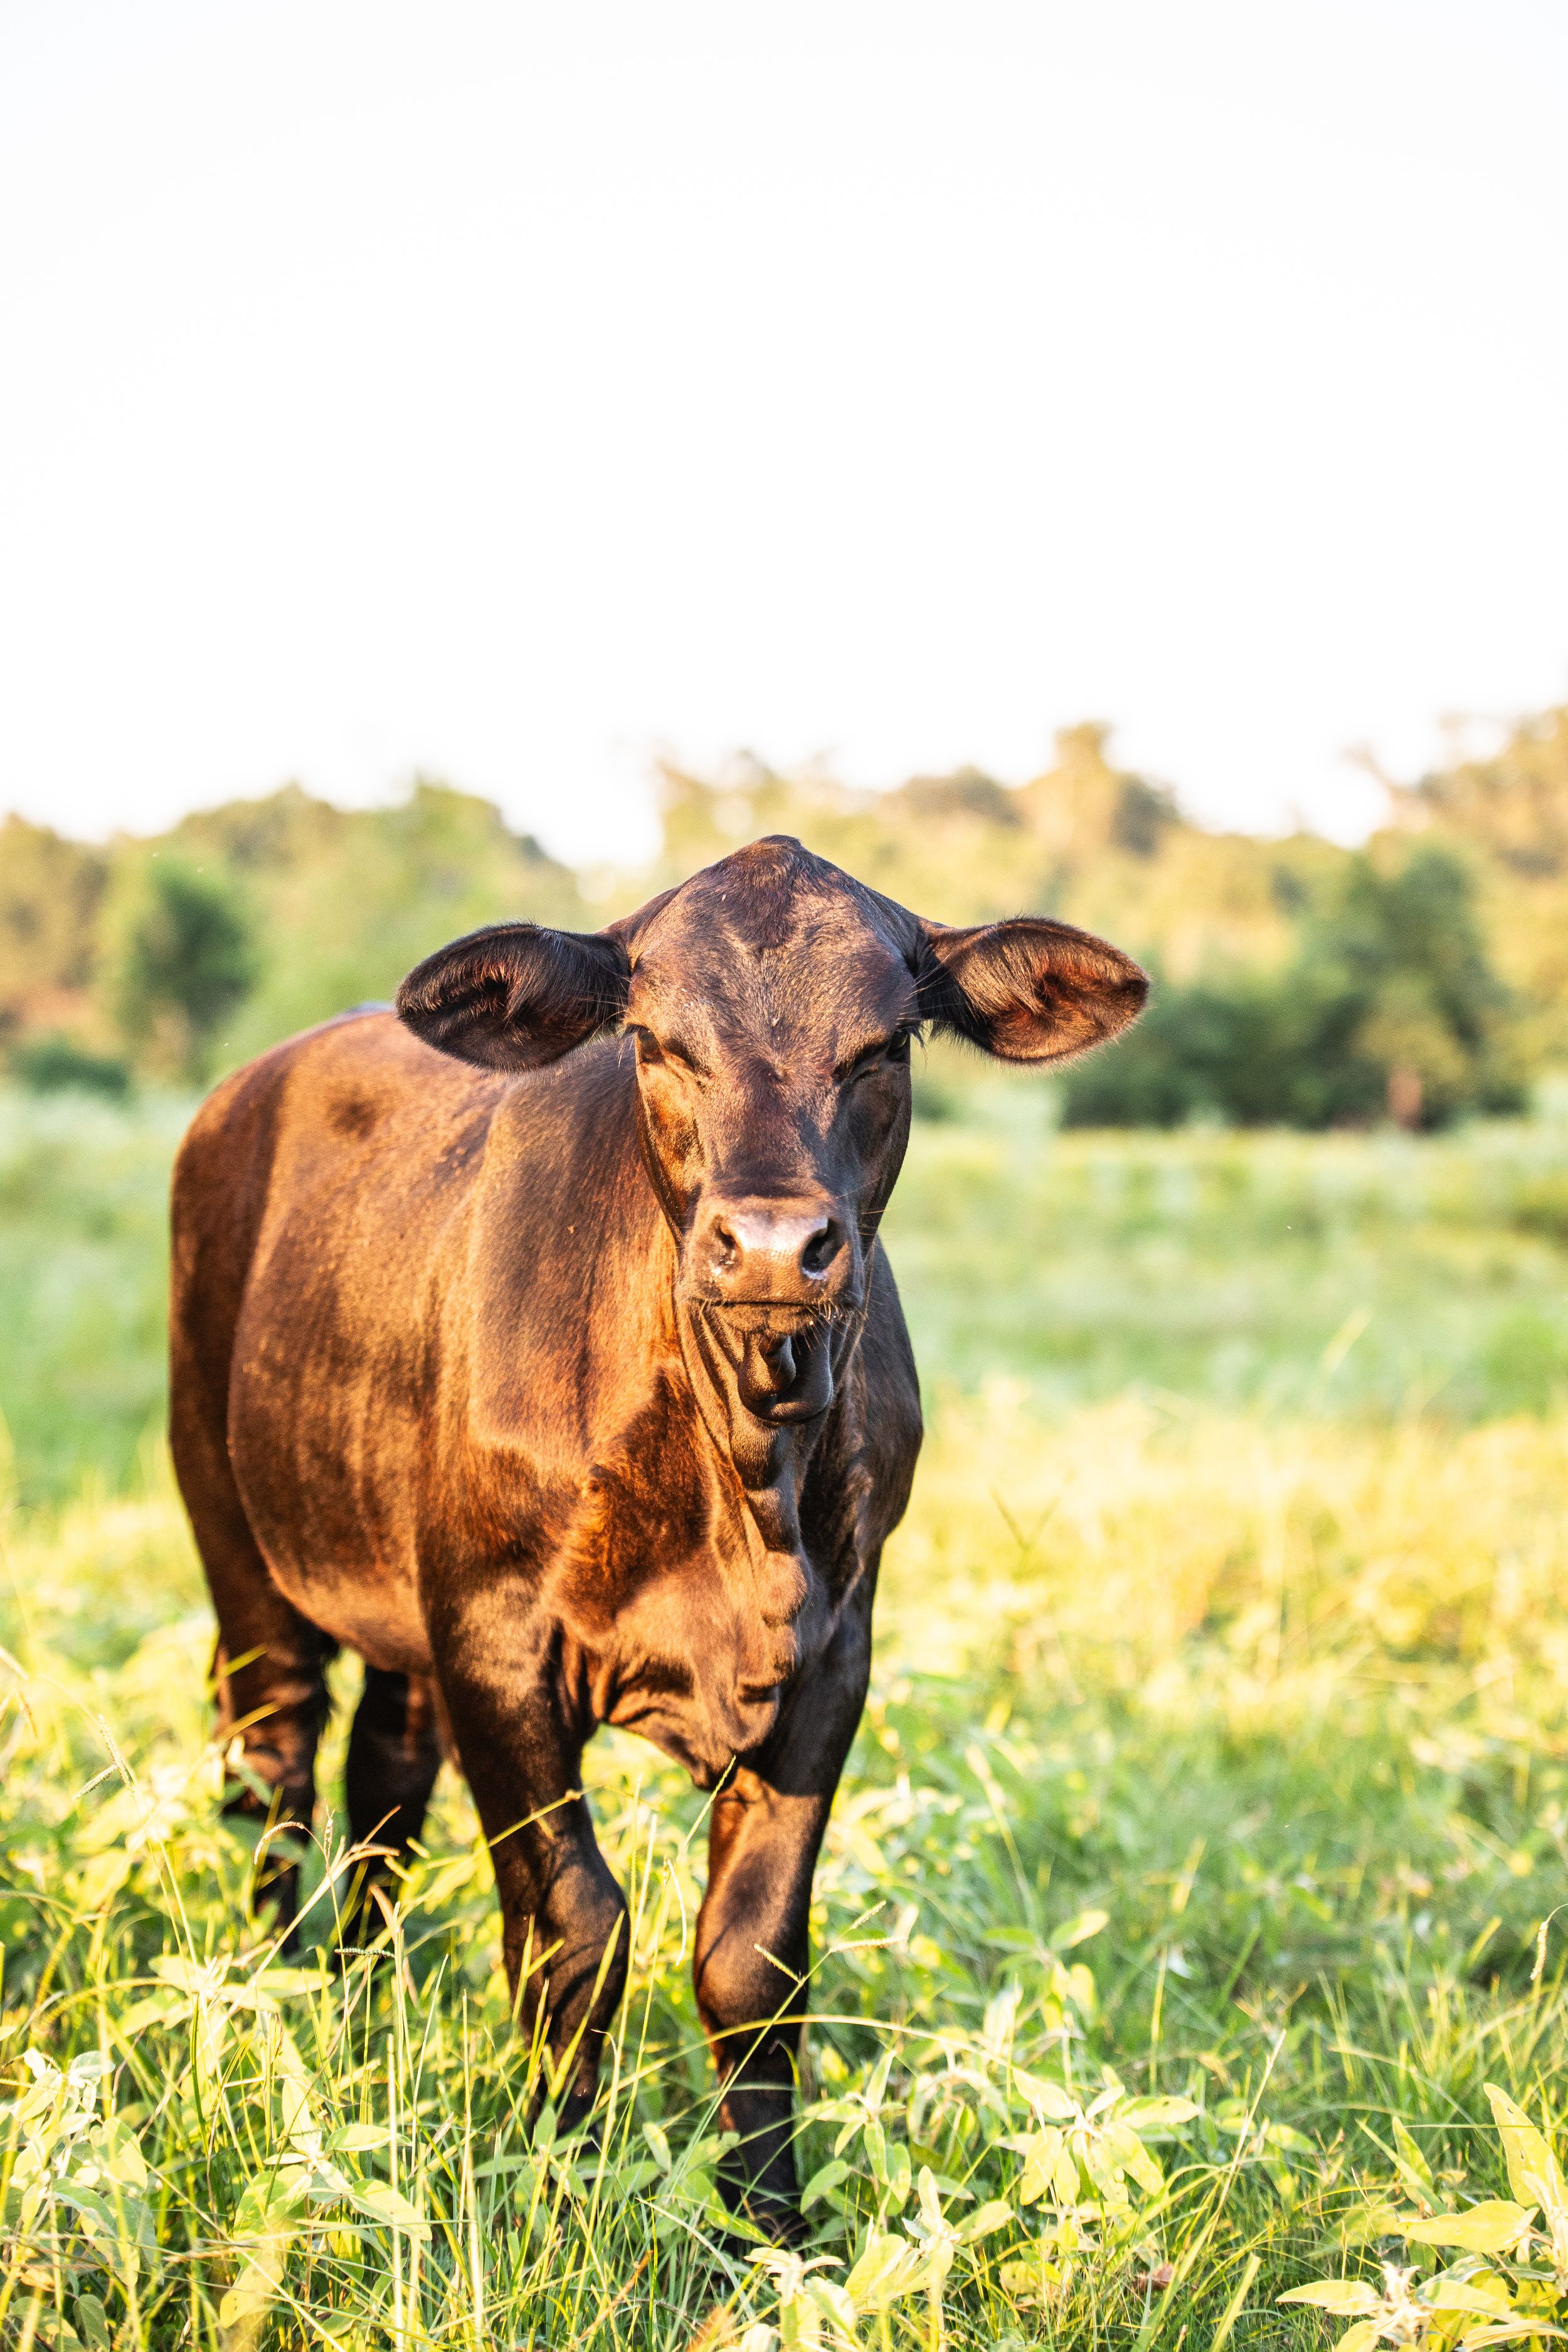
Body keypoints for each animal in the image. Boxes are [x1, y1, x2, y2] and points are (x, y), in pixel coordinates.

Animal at [169, 834, 1145, 2236]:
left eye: (884, 1044)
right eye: (656, 1041)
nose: (775, 1246)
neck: (740, 1475)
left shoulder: (835, 1655)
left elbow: (752, 1958)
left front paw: (771, 2229)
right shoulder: (497, 1644)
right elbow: (573, 1926)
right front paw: (554, 2187)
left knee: (381, 1784)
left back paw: (360, 1999)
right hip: (237, 1539)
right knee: (276, 1768)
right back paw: (283, 1994)